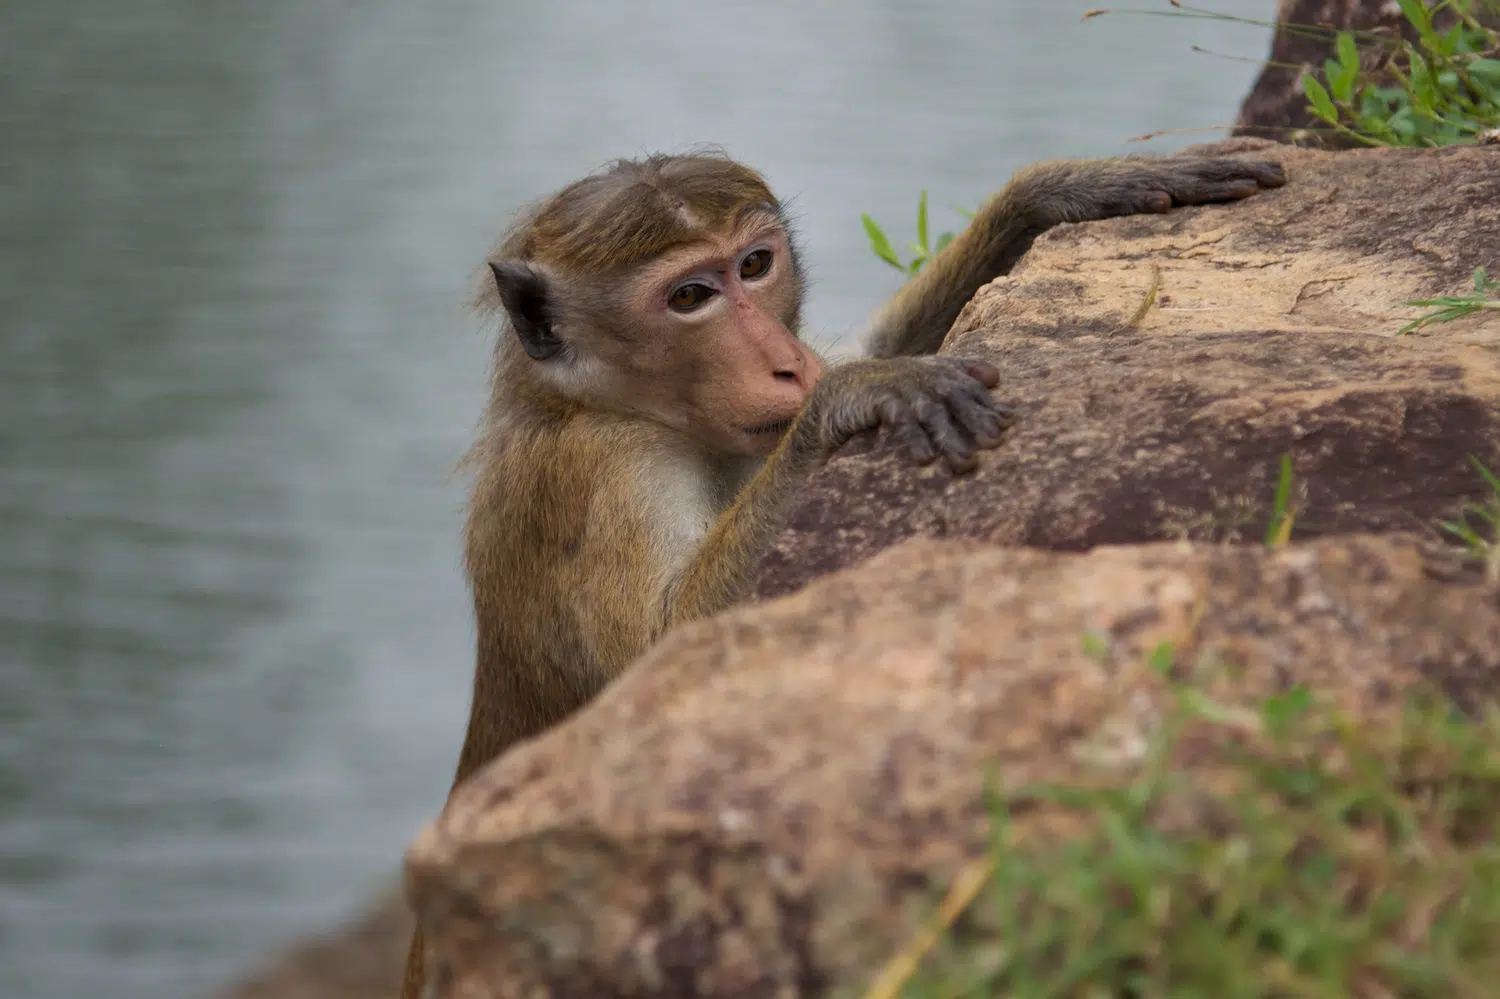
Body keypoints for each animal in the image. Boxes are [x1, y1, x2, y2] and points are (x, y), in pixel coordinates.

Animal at [400, 149, 1285, 998]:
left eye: (755, 265)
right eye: (690, 296)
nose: (789, 366)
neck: (605, 403)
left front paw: (1059, 191)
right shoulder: (602, 473)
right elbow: (663, 658)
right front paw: (850, 397)